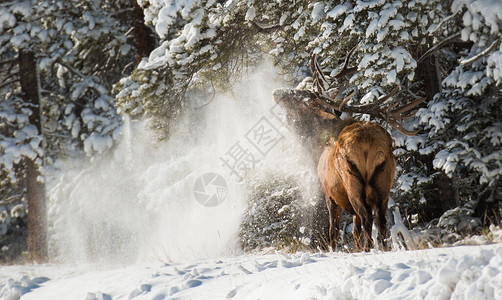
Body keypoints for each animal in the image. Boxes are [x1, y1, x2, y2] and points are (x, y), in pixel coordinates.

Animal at [272, 44, 426, 251]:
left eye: (302, 98)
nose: (276, 92)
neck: (317, 147)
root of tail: (368, 144)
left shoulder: (328, 193)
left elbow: (333, 231)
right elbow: (355, 233)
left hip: (352, 182)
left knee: (368, 219)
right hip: (384, 184)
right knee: (381, 223)